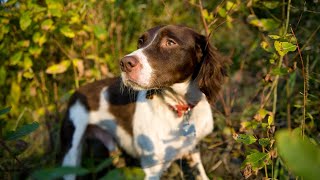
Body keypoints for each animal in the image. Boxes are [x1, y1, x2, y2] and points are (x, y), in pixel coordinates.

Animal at [60, 24, 230, 179]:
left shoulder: (192, 148)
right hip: (71, 152)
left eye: (170, 42)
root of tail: (77, 91)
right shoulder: (152, 168)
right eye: (140, 42)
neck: (179, 107)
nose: (124, 63)